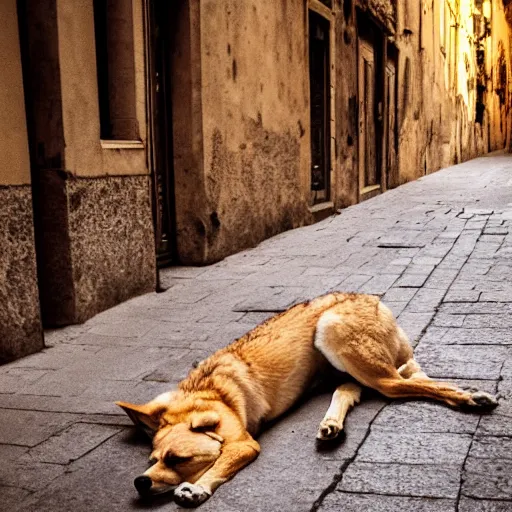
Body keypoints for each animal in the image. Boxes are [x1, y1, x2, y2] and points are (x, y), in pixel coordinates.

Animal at [115, 292, 496, 508]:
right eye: (152, 459)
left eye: (178, 460)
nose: (139, 482)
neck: (206, 394)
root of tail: (372, 299)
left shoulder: (243, 443)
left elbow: (219, 465)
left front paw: (196, 488)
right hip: (345, 365)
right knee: (352, 389)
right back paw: (331, 425)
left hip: (335, 335)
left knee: (402, 385)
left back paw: (469, 397)